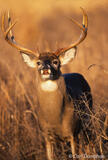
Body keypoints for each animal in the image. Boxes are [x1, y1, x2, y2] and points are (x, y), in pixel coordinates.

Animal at [1, 8, 92, 160]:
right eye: (38, 62)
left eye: (56, 62)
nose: (45, 68)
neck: (56, 119)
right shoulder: (46, 135)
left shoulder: (72, 132)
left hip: (89, 118)